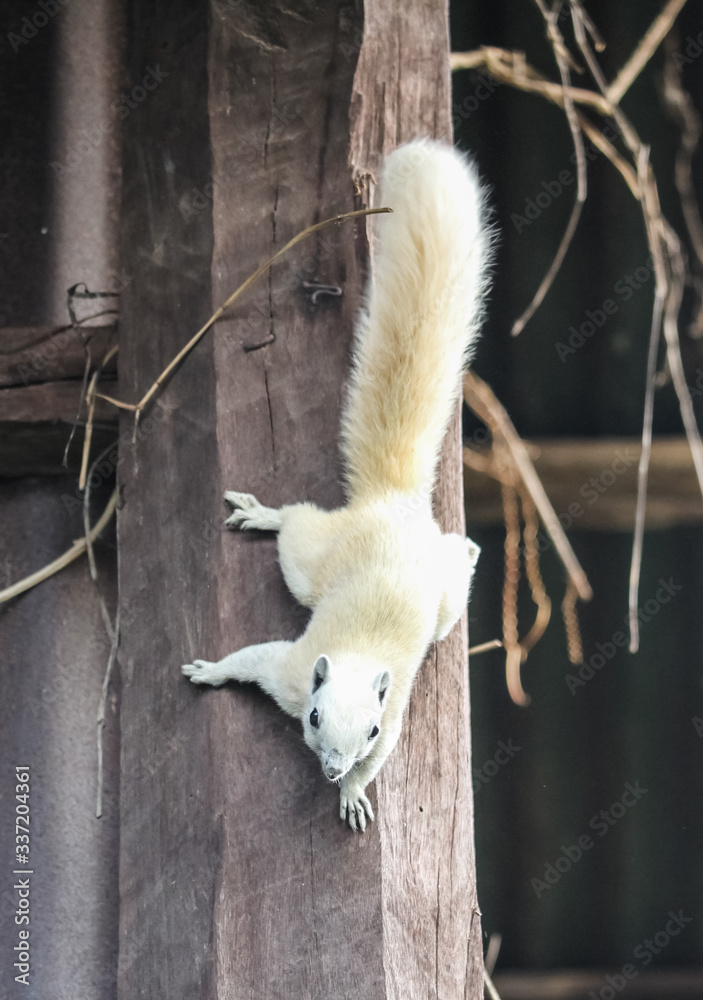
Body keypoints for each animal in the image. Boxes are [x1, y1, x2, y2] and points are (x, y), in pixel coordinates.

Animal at [182, 139, 492, 831]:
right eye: (315, 716)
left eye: (370, 731)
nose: (329, 768)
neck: (354, 655)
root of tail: (394, 505)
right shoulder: (292, 671)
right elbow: (249, 660)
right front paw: (209, 671)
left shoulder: (393, 713)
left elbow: (378, 765)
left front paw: (352, 795)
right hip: (310, 562)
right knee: (294, 526)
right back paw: (263, 514)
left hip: (439, 607)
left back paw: (467, 549)